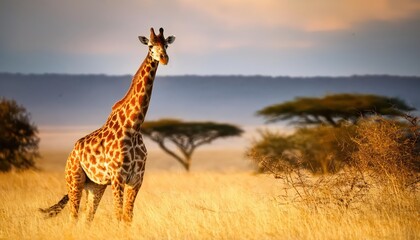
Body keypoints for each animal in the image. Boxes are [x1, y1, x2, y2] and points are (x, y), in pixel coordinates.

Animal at [40, 27, 175, 222]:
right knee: (74, 217)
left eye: (166, 45)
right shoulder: (118, 177)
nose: (164, 58)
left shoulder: (137, 179)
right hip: (74, 180)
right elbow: (118, 215)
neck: (133, 126)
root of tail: (71, 154)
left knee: (87, 218)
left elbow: (128, 217)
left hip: (95, 185)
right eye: (150, 46)